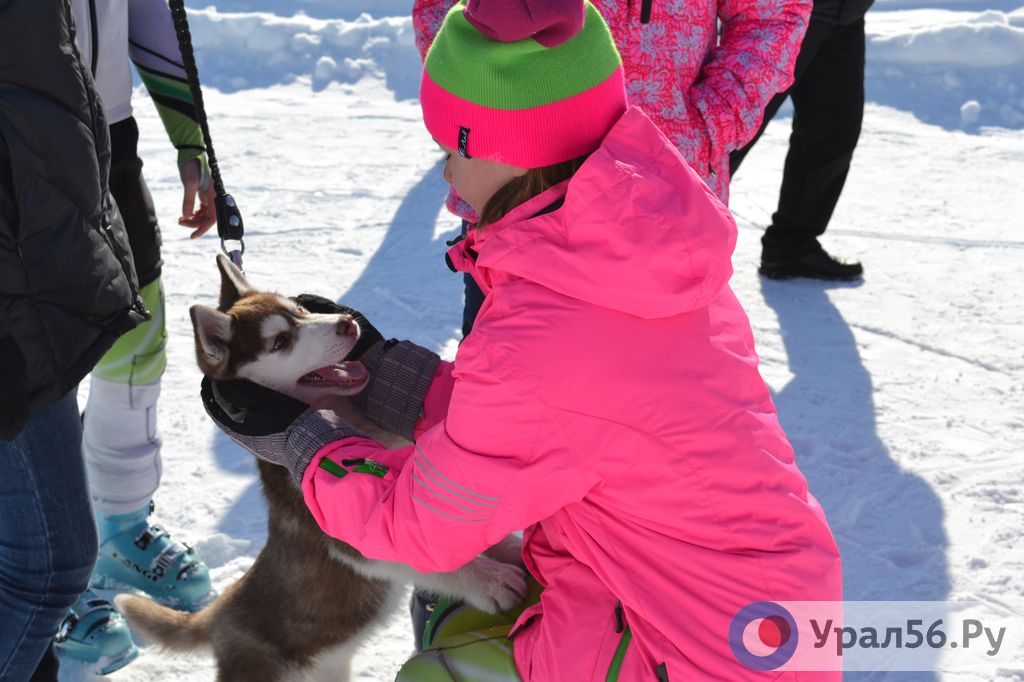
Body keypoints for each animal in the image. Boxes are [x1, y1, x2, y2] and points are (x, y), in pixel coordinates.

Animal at [116, 254, 526, 681]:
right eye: (280, 342)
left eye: (300, 309)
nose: (347, 322)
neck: (343, 418)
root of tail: (219, 613)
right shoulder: (351, 538)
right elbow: (424, 553)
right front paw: (489, 581)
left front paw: (507, 547)